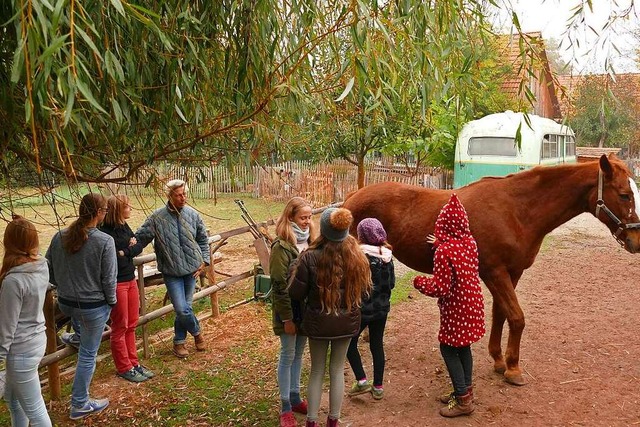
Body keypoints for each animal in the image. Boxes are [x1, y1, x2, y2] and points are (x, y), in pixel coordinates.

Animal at [344, 155, 640, 386]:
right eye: (624, 195)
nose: (636, 242)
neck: (516, 210)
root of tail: (350, 198)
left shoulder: (512, 272)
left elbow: (501, 314)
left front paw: (499, 360)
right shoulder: (495, 273)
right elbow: (517, 317)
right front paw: (513, 368)